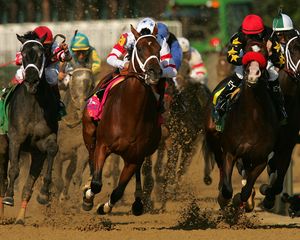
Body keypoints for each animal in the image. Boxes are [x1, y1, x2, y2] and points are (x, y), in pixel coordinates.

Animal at [1, 32, 58, 223]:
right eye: (24, 54)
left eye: (41, 54)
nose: (32, 79)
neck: (34, 105)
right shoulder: (15, 139)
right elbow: (14, 170)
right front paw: (9, 197)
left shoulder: (46, 140)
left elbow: (52, 151)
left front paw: (44, 194)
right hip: (2, 146)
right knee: (2, 179)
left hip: (36, 154)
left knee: (28, 186)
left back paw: (20, 217)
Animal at [81, 25, 162, 216]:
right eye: (139, 48)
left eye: (159, 48)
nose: (154, 72)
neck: (130, 114)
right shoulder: (103, 146)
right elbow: (97, 184)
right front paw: (88, 198)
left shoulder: (134, 157)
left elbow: (118, 191)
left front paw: (104, 207)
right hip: (89, 133)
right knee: (91, 158)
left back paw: (138, 201)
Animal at [203, 41, 280, 212]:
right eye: (246, 52)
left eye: (265, 54)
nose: (253, 74)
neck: (252, 119)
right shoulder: (230, 153)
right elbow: (227, 189)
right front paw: (223, 199)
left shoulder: (261, 159)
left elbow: (245, 191)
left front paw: (245, 201)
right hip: (213, 140)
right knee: (220, 167)